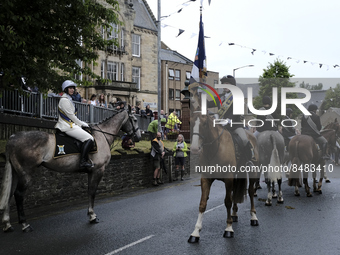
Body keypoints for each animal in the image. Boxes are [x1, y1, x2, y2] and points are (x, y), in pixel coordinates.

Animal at [0, 108, 141, 232]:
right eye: (134, 119)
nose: (139, 136)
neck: (102, 135)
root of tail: (13, 137)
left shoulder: (91, 172)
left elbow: (89, 191)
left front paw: (91, 214)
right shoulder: (98, 170)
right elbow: (92, 192)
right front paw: (92, 216)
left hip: (16, 173)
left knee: (10, 194)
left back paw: (7, 225)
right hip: (26, 174)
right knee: (18, 195)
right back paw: (25, 225)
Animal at [189, 112, 258, 243]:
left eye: (204, 124)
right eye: (190, 122)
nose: (194, 149)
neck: (214, 149)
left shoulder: (228, 178)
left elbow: (227, 201)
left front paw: (228, 229)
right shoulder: (206, 178)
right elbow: (202, 203)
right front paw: (195, 232)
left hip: (253, 172)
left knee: (251, 192)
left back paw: (253, 217)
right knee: (235, 193)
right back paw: (234, 214)